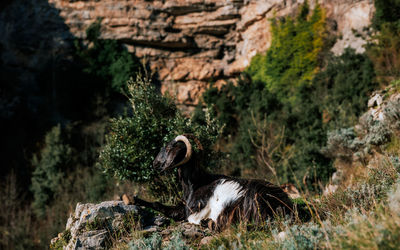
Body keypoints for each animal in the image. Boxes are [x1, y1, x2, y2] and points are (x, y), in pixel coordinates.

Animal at [123, 135, 296, 230]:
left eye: (167, 148)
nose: (155, 164)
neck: (196, 183)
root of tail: (285, 206)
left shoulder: (192, 210)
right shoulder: (183, 208)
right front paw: (131, 198)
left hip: (252, 200)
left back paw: (209, 223)